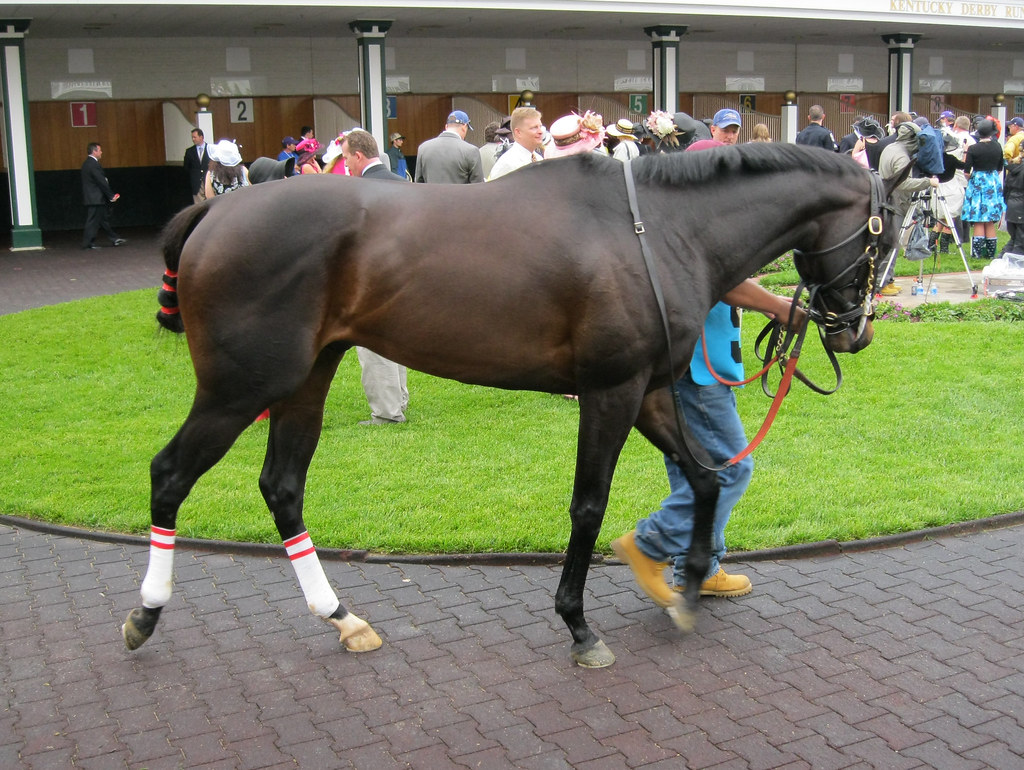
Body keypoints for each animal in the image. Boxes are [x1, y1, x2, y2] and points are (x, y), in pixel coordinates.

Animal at [126, 143, 903, 668]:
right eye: (885, 239)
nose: (856, 331)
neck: (656, 230)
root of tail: (216, 207)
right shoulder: (611, 389)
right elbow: (588, 505)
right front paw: (579, 625)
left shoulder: (649, 388)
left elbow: (707, 478)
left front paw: (685, 587)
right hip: (240, 387)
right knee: (170, 473)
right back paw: (146, 613)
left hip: (305, 378)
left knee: (282, 487)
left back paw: (342, 617)